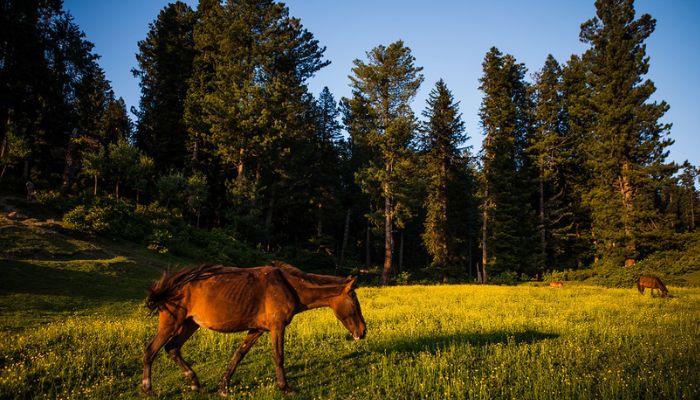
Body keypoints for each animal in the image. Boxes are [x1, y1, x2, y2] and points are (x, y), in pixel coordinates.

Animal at [139, 260, 364, 396]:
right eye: (354, 297)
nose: (363, 331)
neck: (288, 286)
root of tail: (172, 284)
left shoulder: (257, 330)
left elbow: (239, 354)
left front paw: (224, 386)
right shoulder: (277, 327)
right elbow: (278, 356)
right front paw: (285, 388)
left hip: (189, 324)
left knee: (172, 349)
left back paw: (194, 381)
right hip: (171, 324)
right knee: (151, 350)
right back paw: (148, 388)